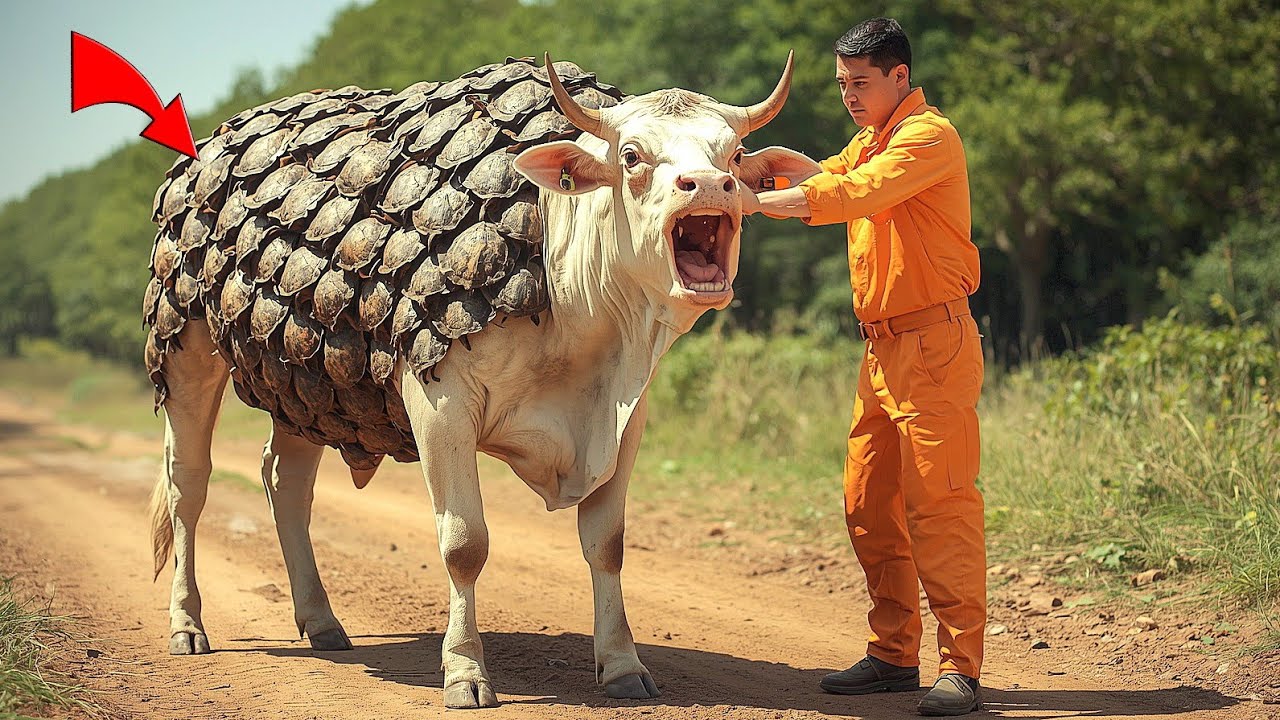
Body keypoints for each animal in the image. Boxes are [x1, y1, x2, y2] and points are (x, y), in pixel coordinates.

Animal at [147, 54, 819, 708]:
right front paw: (466, 674)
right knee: (189, 485)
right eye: (631, 156)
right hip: (184, 345)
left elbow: (608, 543)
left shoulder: (626, 418)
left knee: (286, 482)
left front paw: (624, 667)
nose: (708, 185)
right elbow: (465, 544)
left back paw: (322, 622)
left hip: (303, 381)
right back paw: (186, 625)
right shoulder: (440, 400)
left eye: (735, 155)